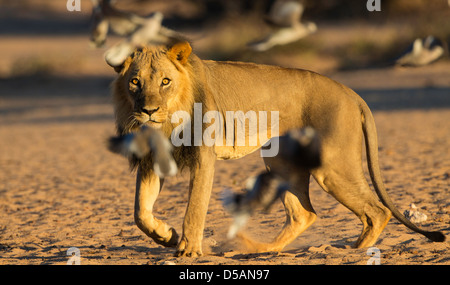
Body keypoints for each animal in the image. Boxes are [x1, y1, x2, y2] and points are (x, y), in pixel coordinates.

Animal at [107, 41, 444, 256]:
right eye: (135, 82)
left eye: (165, 81)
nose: (149, 110)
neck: (165, 123)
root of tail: (351, 93)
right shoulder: (150, 160)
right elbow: (140, 212)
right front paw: (166, 235)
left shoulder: (204, 156)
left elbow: (195, 208)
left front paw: (187, 249)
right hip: (281, 161)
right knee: (303, 214)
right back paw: (263, 250)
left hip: (331, 167)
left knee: (377, 210)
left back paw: (355, 251)